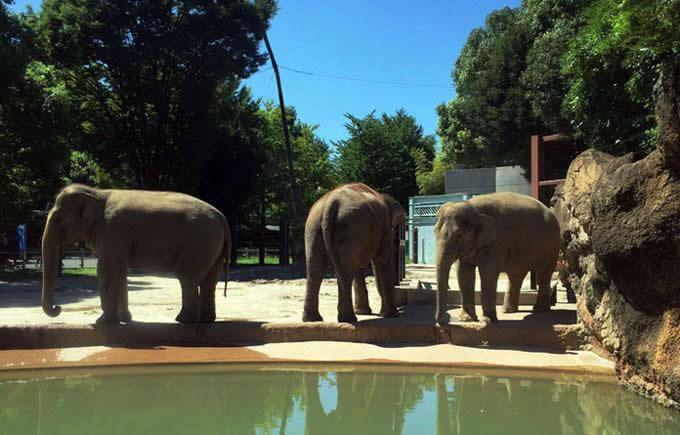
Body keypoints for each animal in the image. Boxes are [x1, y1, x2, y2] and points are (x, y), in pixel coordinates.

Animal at [41, 183, 230, 324]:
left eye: (57, 219)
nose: (58, 308)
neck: (98, 193)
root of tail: (222, 218)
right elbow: (120, 271)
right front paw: (125, 320)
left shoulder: (112, 232)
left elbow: (105, 270)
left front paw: (102, 322)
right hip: (212, 247)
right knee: (208, 282)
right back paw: (206, 320)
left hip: (199, 243)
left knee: (187, 278)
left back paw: (183, 320)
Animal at [302, 184, 404, 324]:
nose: (399, 310)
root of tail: (329, 204)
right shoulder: (384, 227)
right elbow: (382, 261)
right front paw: (392, 315)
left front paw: (364, 312)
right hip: (351, 228)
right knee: (345, 269)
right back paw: (348, 319)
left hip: (313, 229)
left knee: (315, 268)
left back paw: (312, 320)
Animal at [432, 193, 560, 324]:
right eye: (434, 232)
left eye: (459, 235)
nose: (444, 320)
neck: (473, 207)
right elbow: (463, 273)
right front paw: (466, 320)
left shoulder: (496, 242)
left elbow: (488, 273)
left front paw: (487, 321)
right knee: (516, 275)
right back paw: (508, 311)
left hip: (553, 245)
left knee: (544, 273)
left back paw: (539, 309)